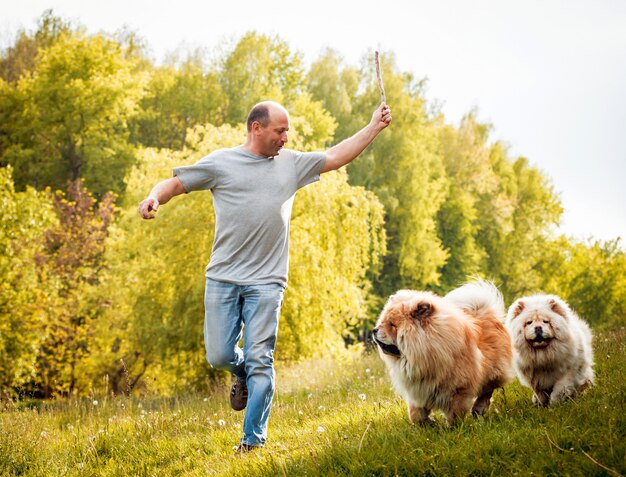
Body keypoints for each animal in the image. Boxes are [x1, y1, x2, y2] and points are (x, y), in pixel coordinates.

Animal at [372, 278, 510, 424]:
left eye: (392, 325)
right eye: (383, 321)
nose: (374, 330)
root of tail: (486, 313)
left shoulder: (458, 389)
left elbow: (455, 412)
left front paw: (452, 426)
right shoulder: (418, 390)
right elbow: (415, 414)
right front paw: (428, 424)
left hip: (494, 371)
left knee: (487, 391)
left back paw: (479, 409)